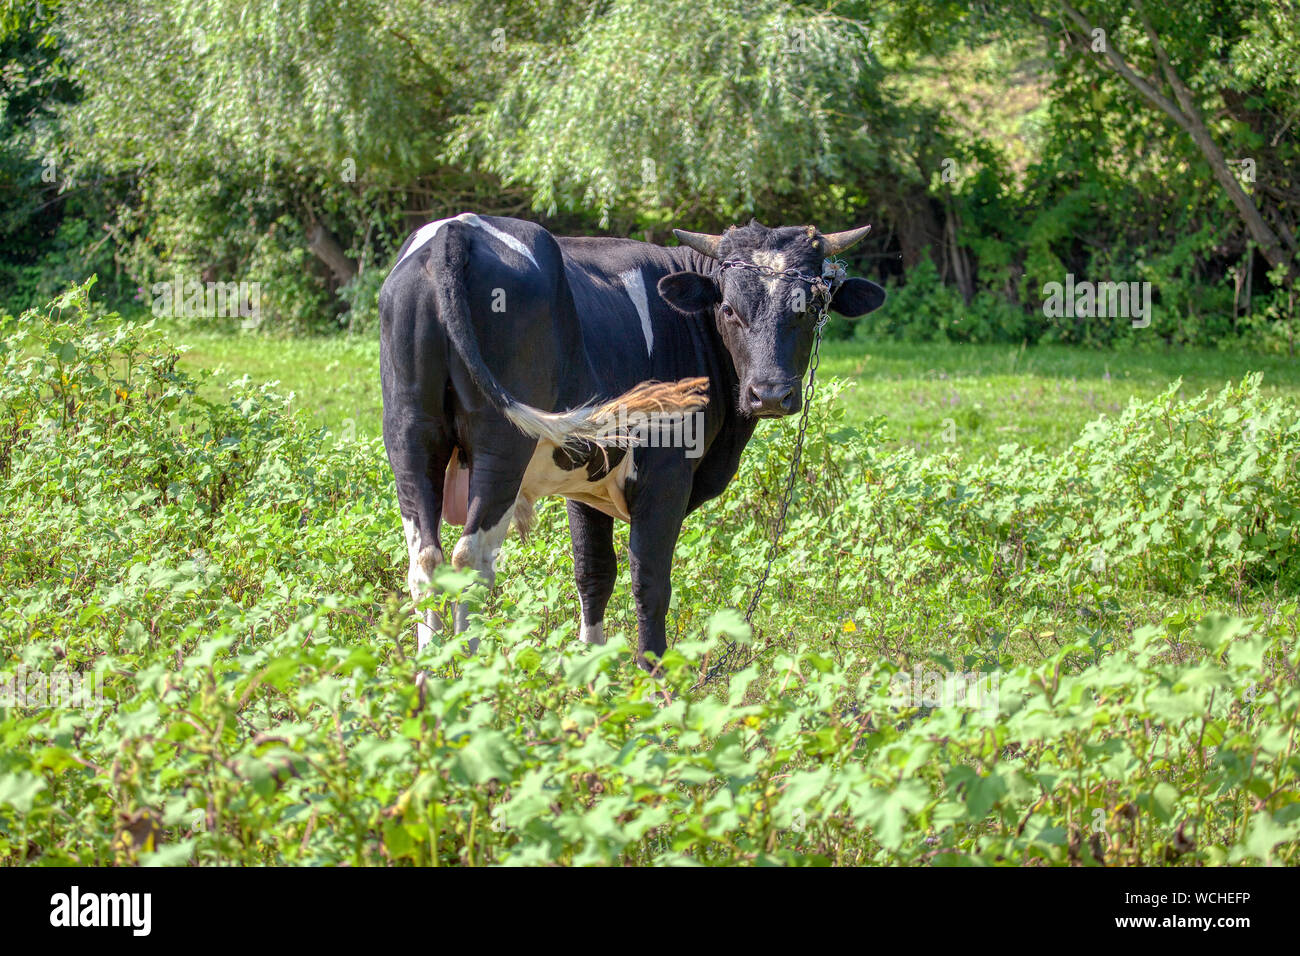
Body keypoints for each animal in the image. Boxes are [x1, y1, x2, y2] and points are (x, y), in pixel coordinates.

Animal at [379, 213, 885, 675]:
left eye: (811, 307)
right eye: (729, 309)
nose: (770, 394)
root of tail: (457, 230)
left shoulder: (586, 477)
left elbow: (593, 572)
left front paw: (590, 674)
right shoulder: (665, 477)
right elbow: (650, 581)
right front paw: (653, 677)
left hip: (409, 432)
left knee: (425, 560)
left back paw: (429, 675)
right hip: (502, 445)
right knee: (471, 559)